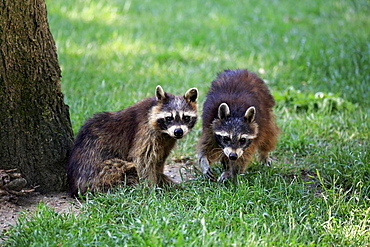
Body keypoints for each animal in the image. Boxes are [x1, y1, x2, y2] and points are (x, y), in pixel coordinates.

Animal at [67, 85, 198, 197]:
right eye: (169, 118)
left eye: (186, 117)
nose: (178, 131)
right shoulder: (145, 132)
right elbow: (143, 161)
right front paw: (151, 188)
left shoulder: (166, 142)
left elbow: (158, 161)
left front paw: (161, 180)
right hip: (98, 174)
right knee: (125, 167)